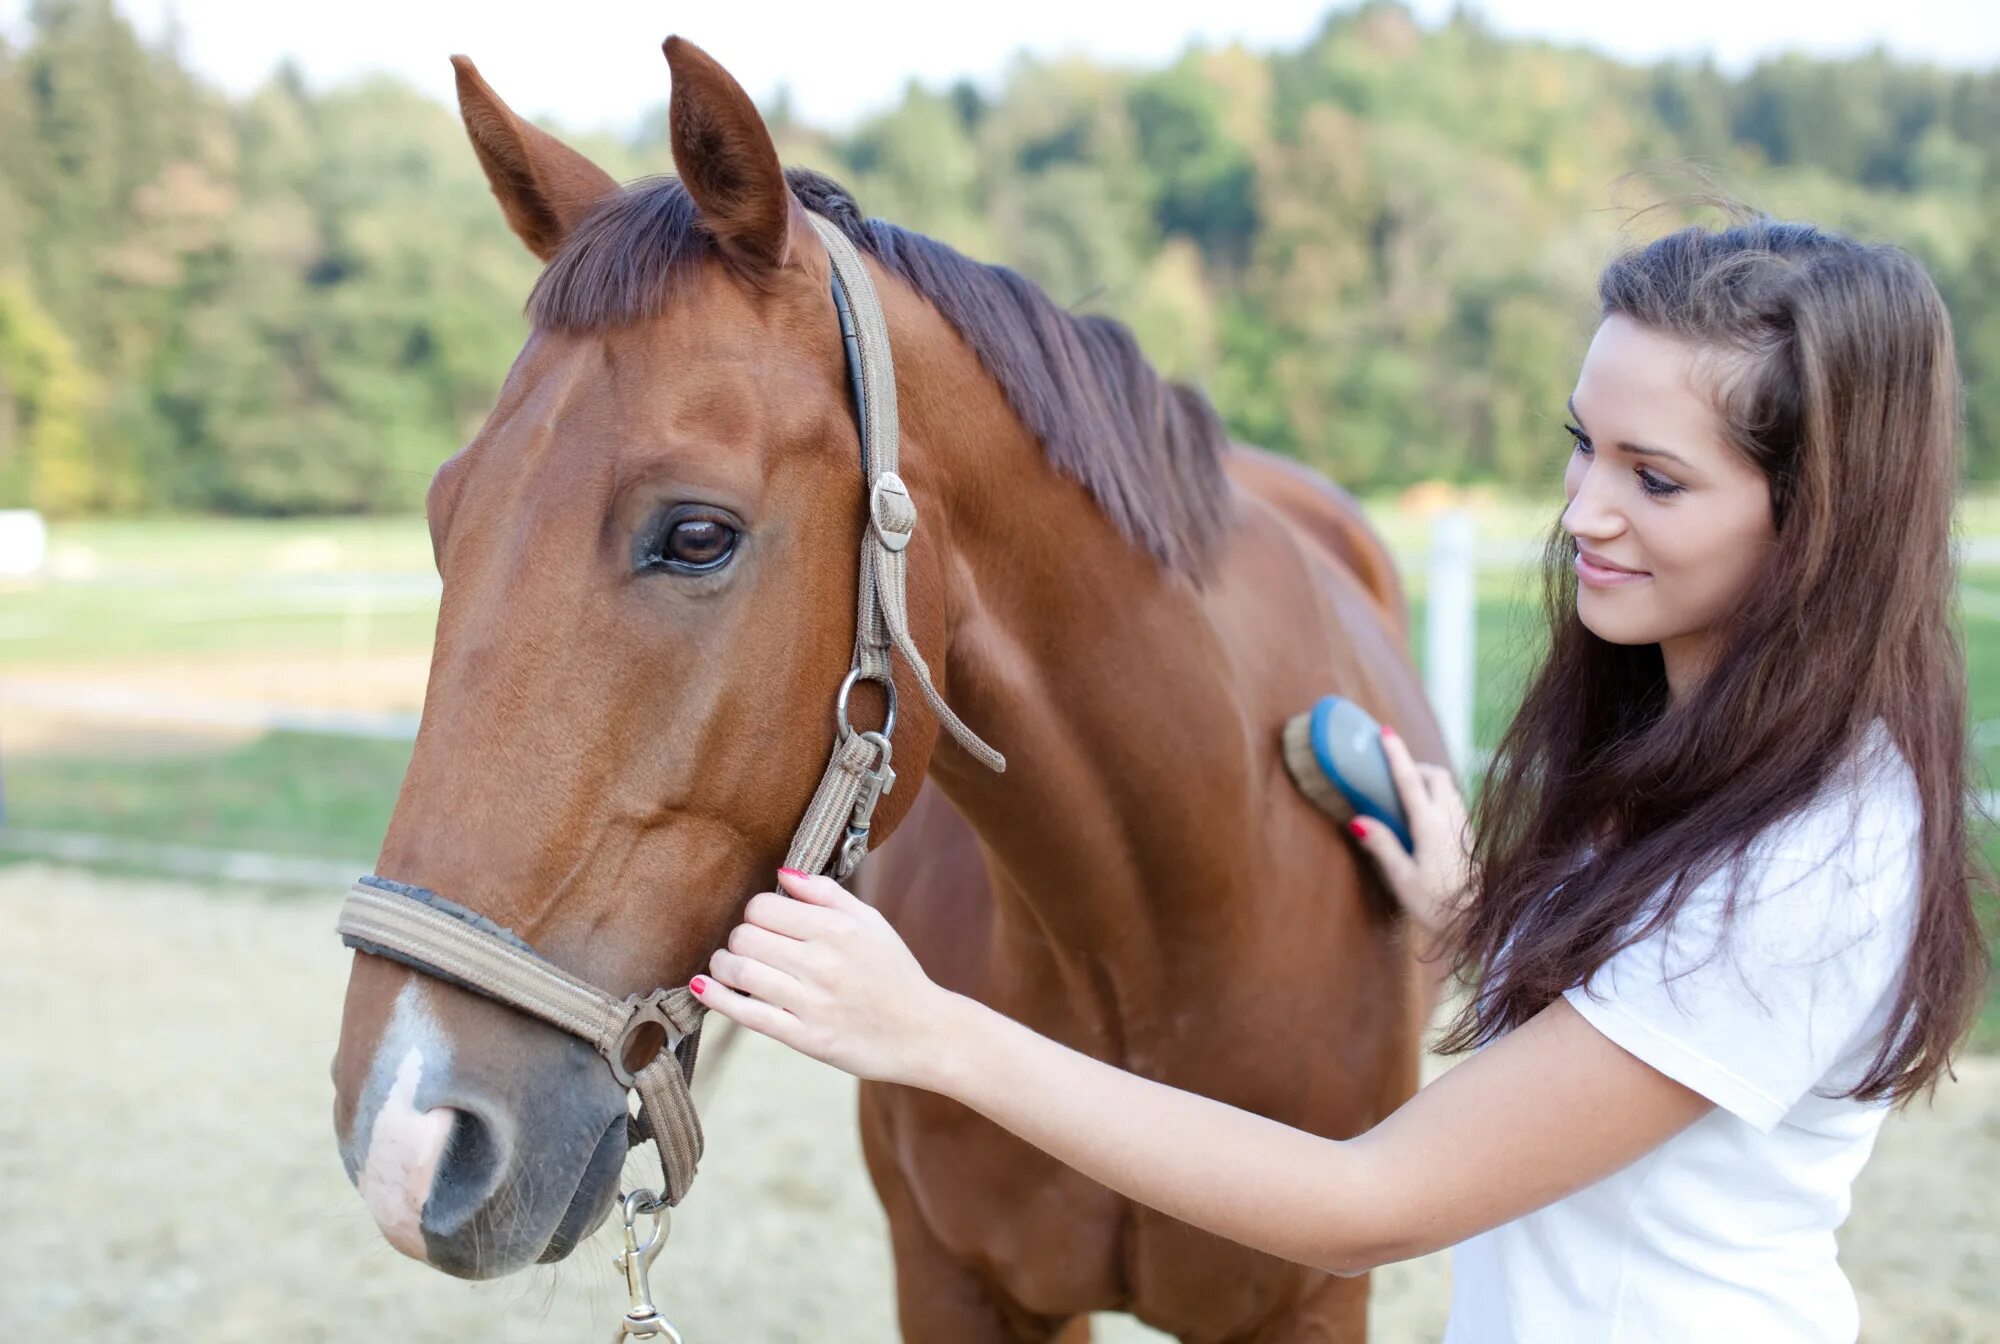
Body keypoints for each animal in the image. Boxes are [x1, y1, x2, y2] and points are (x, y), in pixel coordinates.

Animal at [336, 36, 1448, 1344]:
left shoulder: (1312, 1302)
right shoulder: (951, 1277)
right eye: (440, 516)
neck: (1164, 928)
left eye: (697, 535)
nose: (407, 1137)